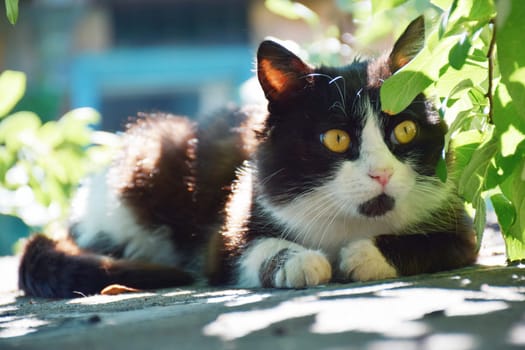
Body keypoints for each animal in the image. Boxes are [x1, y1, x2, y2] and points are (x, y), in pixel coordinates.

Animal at [17, 17, 474, 298]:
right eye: (337, 138)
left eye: (406, 130)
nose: (381, 174)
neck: (352, 220)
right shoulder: (236, 214)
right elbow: (243, 252)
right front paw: (298, 261)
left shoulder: (455, 219)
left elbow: (443, 244)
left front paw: (364, 255)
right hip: (145, 167)